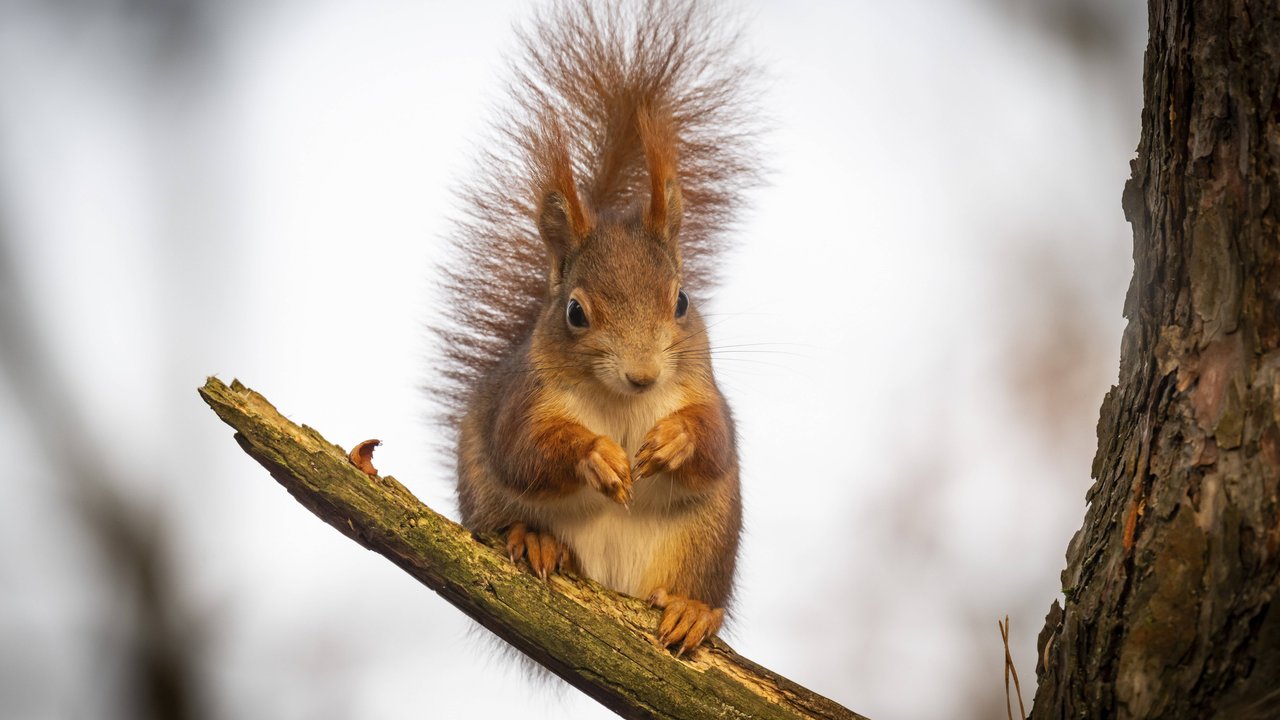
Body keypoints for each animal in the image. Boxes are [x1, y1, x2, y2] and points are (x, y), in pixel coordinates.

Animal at [435, 0, 762, 653]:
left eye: (682, 301)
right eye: (575, 313)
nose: (642, 375)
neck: (622, 403)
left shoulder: (703, 389)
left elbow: (716, 440)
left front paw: (675, 439)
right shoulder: (525, 399)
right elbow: (525, 450)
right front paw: (598, 456)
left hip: (707, 538)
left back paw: (691, 609)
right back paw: (534, 539)